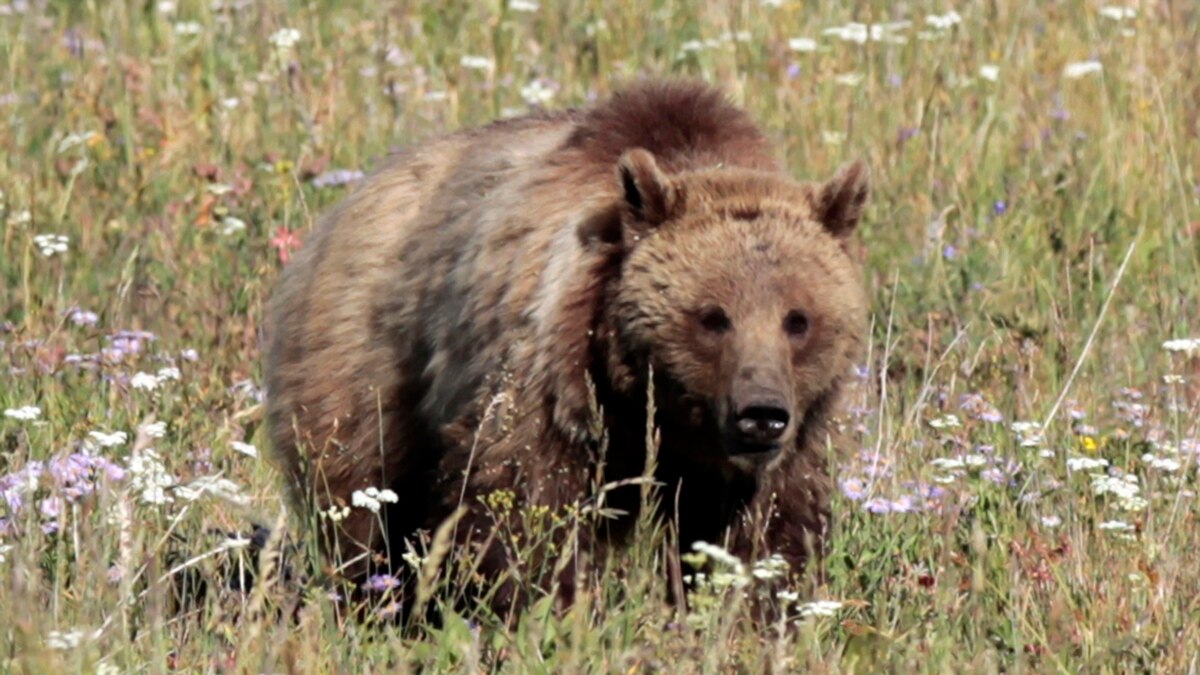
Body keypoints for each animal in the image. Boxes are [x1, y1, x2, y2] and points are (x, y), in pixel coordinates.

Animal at [265, 76, 873, 619]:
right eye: (712, 317)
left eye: (798, 320)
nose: (761, 414)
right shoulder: (550, 376)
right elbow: (526, 504)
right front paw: (546, 609)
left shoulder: (776, 451)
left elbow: (765, 530)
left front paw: (750, 612)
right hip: (366, 363)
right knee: (360, 501)